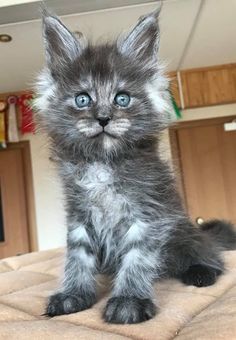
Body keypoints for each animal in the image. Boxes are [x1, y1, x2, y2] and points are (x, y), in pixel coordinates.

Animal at [35, 6, 236, 322]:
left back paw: (201, 270)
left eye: (122, 98)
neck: (103, 163)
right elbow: (77, 256)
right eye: (82, 99)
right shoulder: (79, 214)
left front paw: (129, 300)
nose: (103, 118)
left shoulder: (147, 213)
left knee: (208, 252)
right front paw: (74, 294)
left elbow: (137, 257)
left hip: (184, 233)